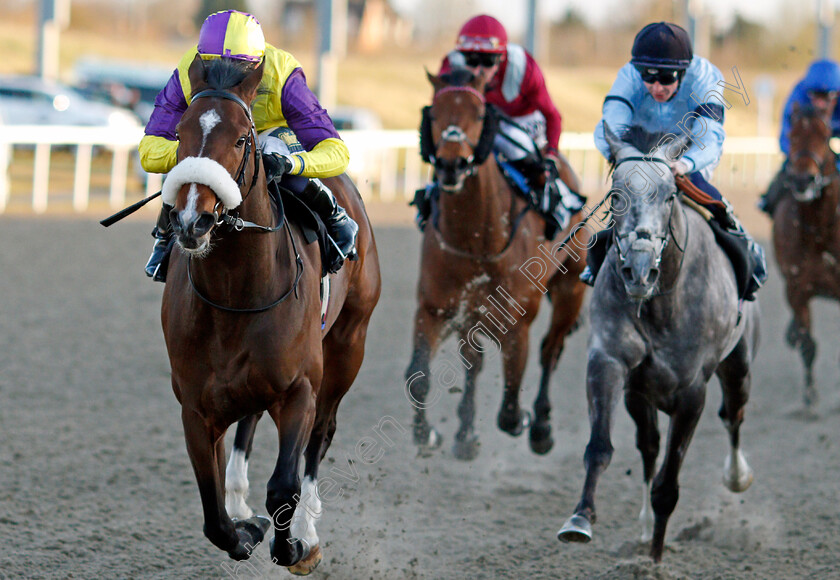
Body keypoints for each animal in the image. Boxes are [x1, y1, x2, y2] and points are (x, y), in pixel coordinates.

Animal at [158, 55, 380, 576]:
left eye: (243, 138)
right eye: (179, 132)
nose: (192, 221)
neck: (236, 294)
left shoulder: (298, 389)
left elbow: (284, 486)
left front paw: (294, 546)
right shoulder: (195, 407)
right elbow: (213, 513)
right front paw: (246, 527)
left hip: (348, 346)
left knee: (320, 436)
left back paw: (308, 531)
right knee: (249, 420)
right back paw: (242, 500)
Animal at [404, 70, 588, 462]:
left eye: (477, 113)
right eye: (435, 112)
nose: (452, 164)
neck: (476, 238)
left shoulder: (517, 324)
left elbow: (510, 406)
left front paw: (525, 420)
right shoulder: (436, 309)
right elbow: (419, 376)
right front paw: (428, 434)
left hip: (570, 289)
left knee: (551, 351)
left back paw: (541, 428)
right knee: (473, 362)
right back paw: (465, 433)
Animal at [556, 124, 760, 560]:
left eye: (668, 196)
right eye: (616, 195)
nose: (638, 270)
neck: (663, 302)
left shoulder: (691, 392)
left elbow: (669, 484)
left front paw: (653, 560)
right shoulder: (610, 362)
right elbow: (600, 447)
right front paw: (580, 519)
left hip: (739, 366)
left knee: (733, 416)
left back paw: (737, 477)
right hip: (641, 393)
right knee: (649, 447)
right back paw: (645, 523)